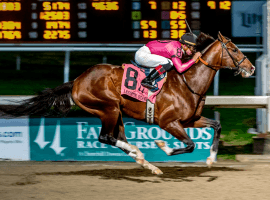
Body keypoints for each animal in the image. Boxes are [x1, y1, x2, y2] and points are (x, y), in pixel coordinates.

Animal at [1, 32, 255, 174]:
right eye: (234, 49)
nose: (251, 68)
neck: (189, 82)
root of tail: (77, 81)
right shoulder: (168, 122)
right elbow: (190, 145)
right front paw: (163, 146)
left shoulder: (190, 120)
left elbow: (216, 126)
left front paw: (211, 160)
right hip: (108, 108)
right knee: (106, 137)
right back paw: (139, 153)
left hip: (118, 113)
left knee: (117, 138)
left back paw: (147, 163)